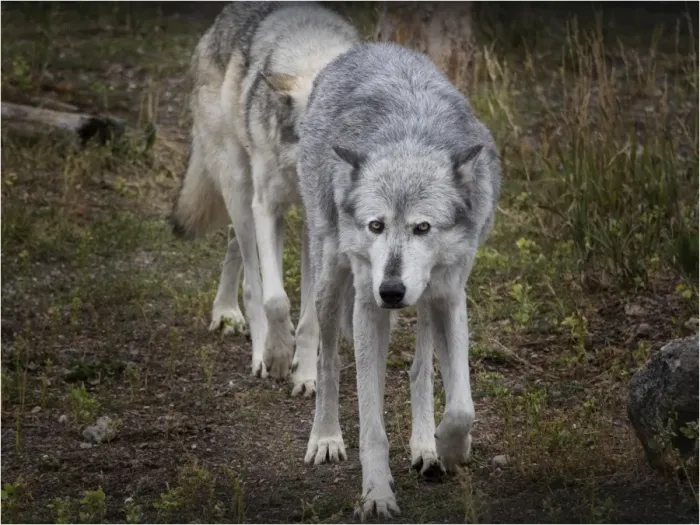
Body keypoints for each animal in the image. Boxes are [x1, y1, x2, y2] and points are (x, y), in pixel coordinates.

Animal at [170, 2, 359, 395]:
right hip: (240, 188)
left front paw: (306, 374)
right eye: (310, 136)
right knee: (252, 283)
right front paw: (278, 355)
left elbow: (311, 315)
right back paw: (247, 337)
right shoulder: (267, 208)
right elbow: (275, 299)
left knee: (234, 246)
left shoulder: (317, 231)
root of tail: (222, 18)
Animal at [297, 42, 501, 520]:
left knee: (419, 369)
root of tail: (367, 46)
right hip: (330, 284)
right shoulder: (368, 308)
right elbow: (372, 426)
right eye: (376, 226)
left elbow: (461, 405)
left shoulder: (449, 296)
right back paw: (326, 437)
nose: (390, 291)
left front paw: (448, 448)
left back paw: (425, 446)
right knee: (329, 363)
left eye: (422, 228)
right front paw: (376, 495)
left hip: (424, 301)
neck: (409, 136)